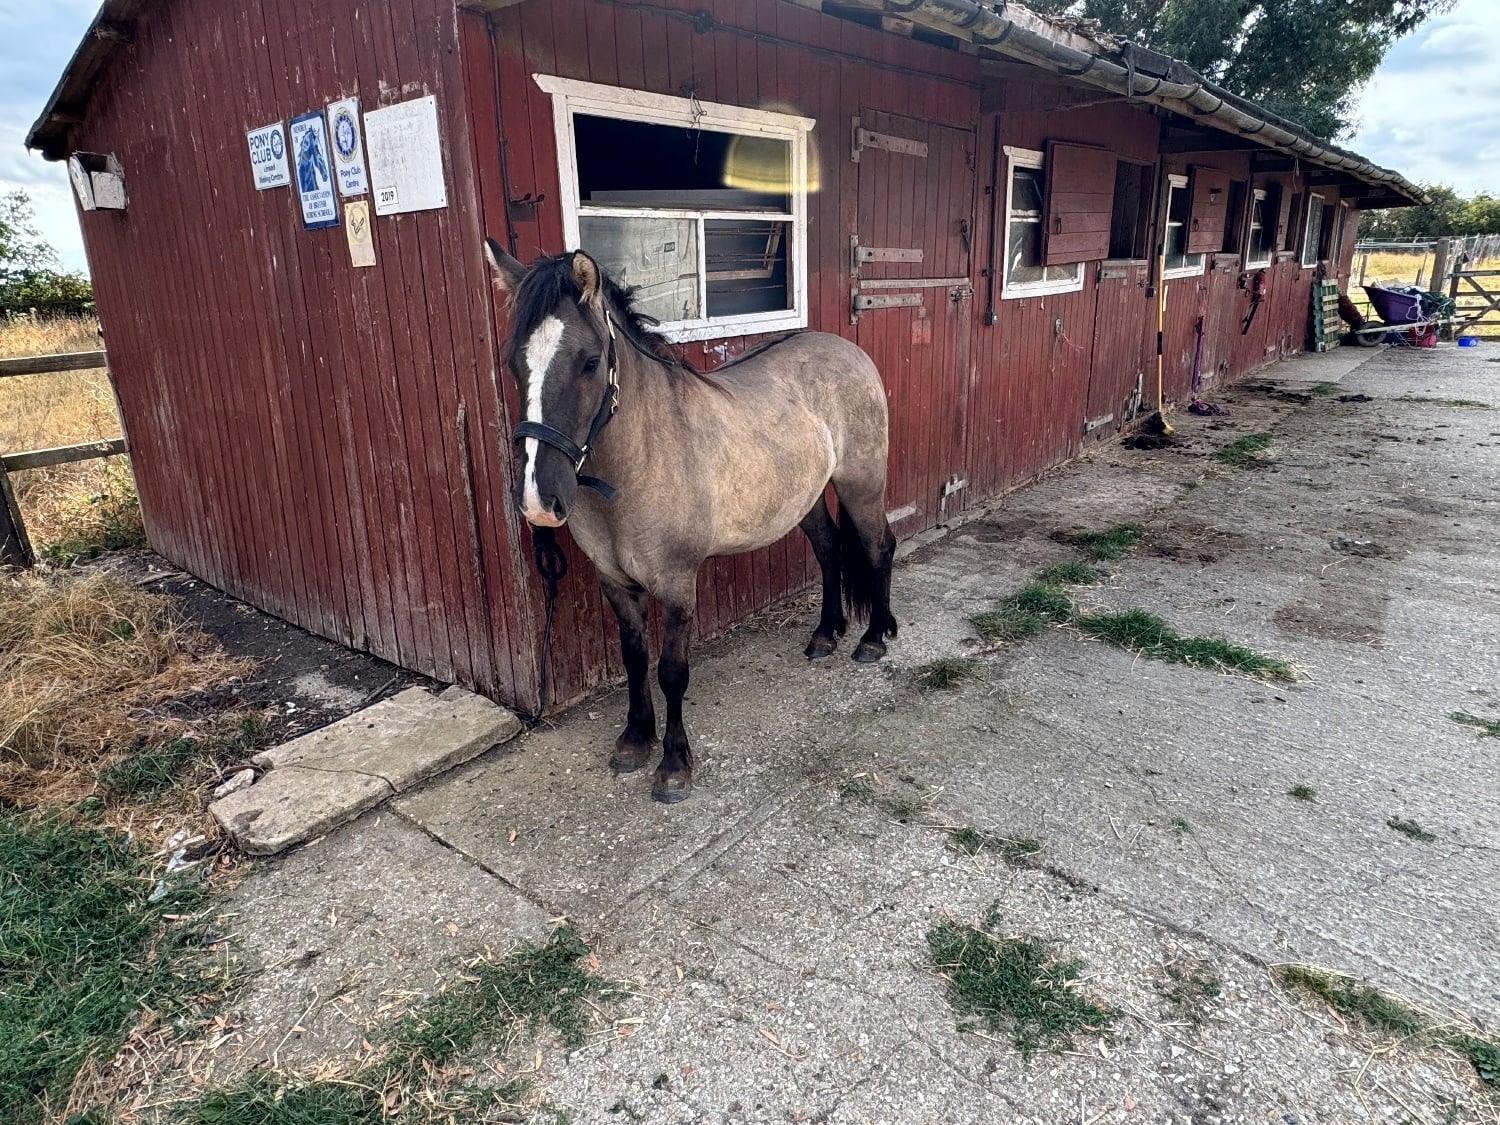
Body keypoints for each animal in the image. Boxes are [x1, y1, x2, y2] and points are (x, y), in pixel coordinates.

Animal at [485, 241, 897, 803]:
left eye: (589, 362)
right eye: (513, 363)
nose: (537, 500)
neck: (640, 458)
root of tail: (846, 349)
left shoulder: (677, 583)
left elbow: (672, 672)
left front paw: (674, 766)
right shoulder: (615, 582)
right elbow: (634, 659)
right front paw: (634, 741)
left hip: (861, 484)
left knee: (878, 547)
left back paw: (873, 637)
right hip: (805, 498)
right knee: (830, 549)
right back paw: (825, 634)